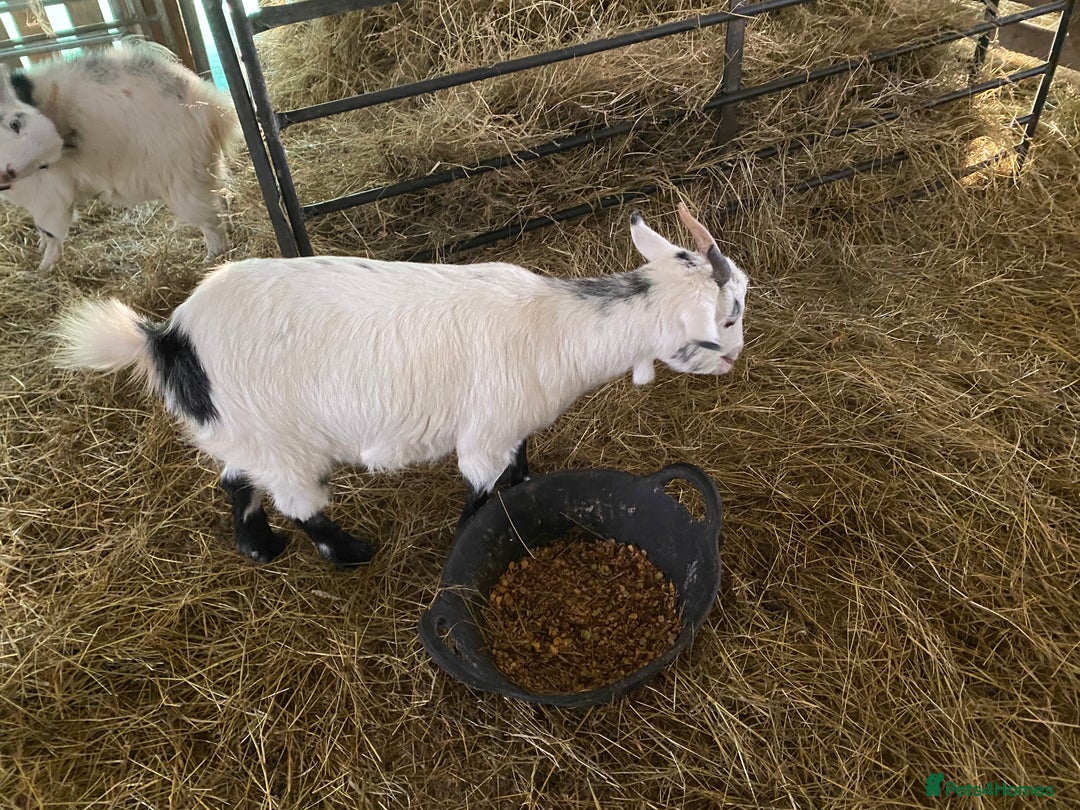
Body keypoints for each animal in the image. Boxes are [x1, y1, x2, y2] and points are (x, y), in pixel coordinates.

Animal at [0, 42, 238, 270]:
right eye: (14, 124)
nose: (8, 175)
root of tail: (209, 106)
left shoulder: (50, 196)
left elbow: (50, 230)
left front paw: (43, 267)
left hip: (184, 184)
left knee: (211, 220)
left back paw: (212, 258)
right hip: (207, 168)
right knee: (221, 198)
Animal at [54, 204, 749, 567]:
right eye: (729, 315)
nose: (736, 360)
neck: (555, 327)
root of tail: (169, 338)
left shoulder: (512, 426)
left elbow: (520, 470)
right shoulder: (486, 432)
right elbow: (482, 494)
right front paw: (470, 542)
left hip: (247, 431)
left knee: (235, 482)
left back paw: (259, 547)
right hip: (283, 440)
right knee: (298, 502)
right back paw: (348, 552)